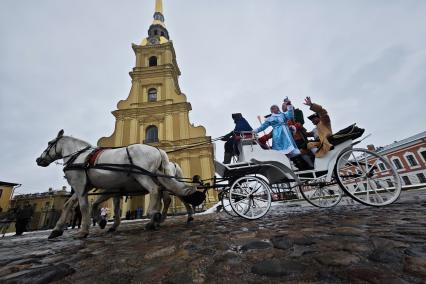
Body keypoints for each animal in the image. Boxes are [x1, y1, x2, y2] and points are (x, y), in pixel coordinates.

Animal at [36, 130, 196, 239]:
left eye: (49, 143)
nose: (38, 160)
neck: (80, 157)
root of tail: (157, 149)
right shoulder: (94, 188)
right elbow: (70, 204)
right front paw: (57, 230)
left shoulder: (80, 185)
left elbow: (84, 206)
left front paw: (83, 231)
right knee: (174, 195)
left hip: (144, 177)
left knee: (156, 192)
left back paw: (154, 217)